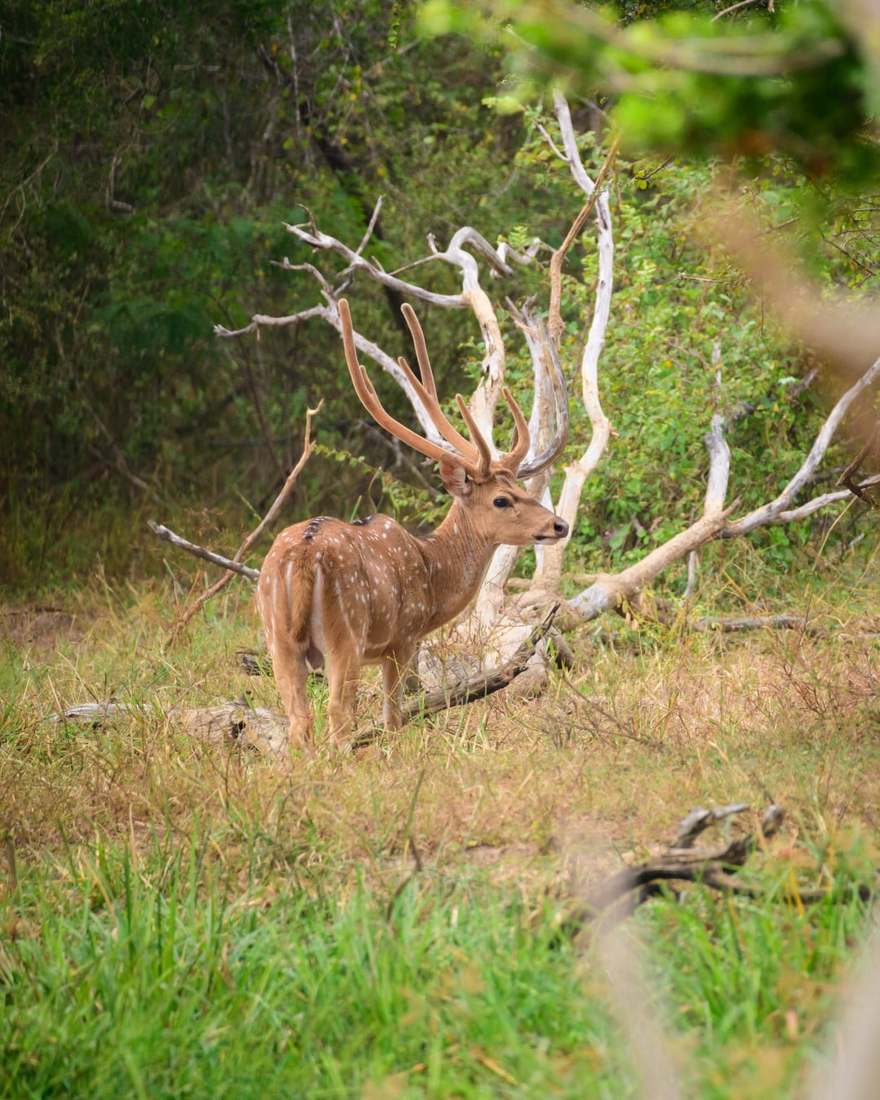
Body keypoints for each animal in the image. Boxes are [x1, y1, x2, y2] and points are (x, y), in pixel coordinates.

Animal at [256, 297, 570, 745]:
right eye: (501, 499)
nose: (559, 525)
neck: (431, 572)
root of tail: (300, 558)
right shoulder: (403, 638)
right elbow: (395, 717)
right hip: (345, 635)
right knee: (338, 714)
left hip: (276, 636)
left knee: (298, 720)